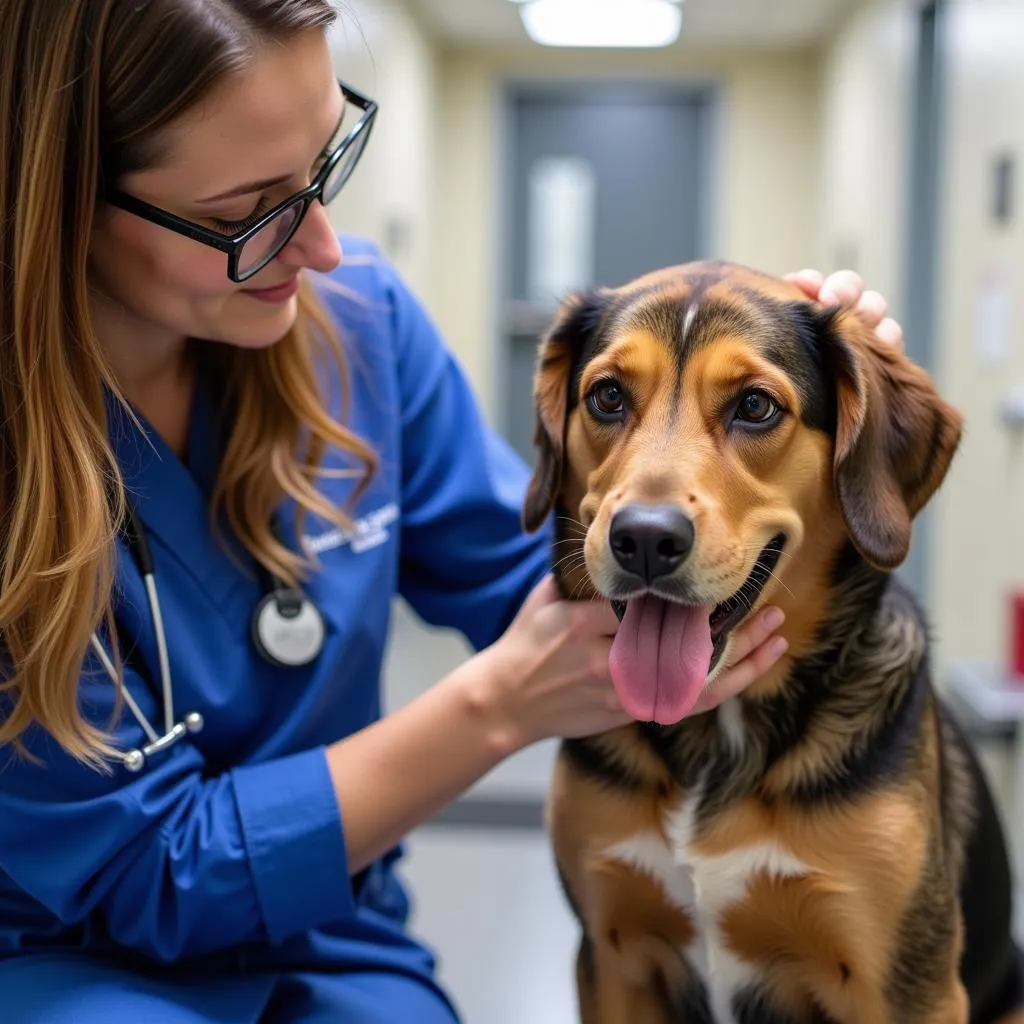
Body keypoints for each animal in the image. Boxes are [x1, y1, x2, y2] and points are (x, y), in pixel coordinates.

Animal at [528, 258, 1024, 1024]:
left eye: (756, 407)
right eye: (607, 396)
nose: (644, 539)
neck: (718, 735)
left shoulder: (908, 990)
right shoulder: (612, 958)